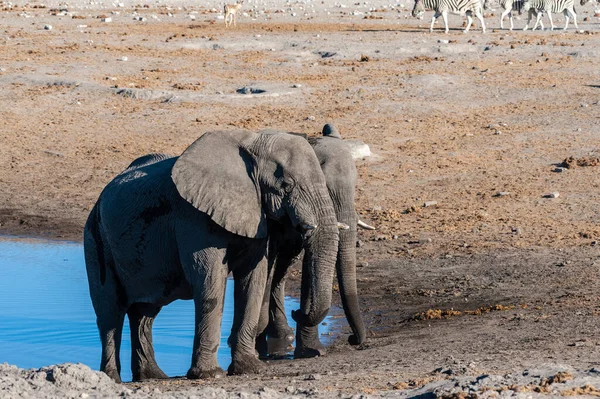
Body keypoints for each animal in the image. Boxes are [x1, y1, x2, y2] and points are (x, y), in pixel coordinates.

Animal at [82, 130, 340, 382]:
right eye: (286, 185)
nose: (298, 312)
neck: (250, 142)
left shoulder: (257, 214)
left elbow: (253, 281)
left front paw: (250, 369)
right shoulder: (193, 217)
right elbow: (210, 283)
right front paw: (210, 374)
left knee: (144, 313)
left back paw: (152, 376)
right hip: (95, 238)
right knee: (110, 313)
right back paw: (111, 378)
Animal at [254, 125, 376, 360]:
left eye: (355, 184)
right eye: (326, 186)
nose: (352, 339)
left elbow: (311, 264)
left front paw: (311, 351)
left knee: (284, 265)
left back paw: (283, 335)